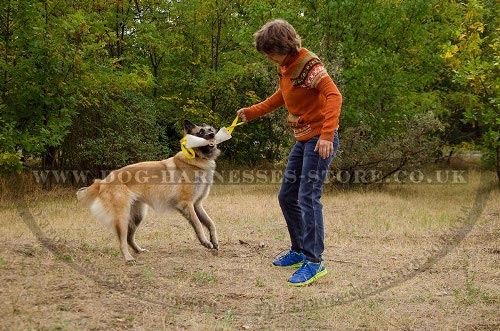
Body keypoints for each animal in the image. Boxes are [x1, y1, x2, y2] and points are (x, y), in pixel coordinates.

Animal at [76, 120, 221, 264]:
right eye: (201, 132)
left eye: (211, 129)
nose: (212, 134)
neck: (196, 158)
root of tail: (103, 181)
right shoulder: (186, 204)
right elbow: (198, 224)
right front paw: (205, 242)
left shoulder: (197, 204)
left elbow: (211, 223)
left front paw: (213, 240)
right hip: (123, 217)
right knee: (122, 240)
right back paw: (128, 258)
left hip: (137, 216)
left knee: (129, 238)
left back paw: (139, 250)